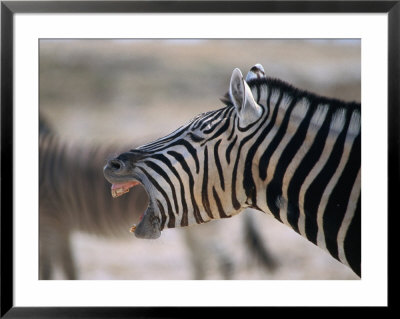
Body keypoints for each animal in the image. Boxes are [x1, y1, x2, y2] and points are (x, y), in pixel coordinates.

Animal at [39, 114, 276, 278]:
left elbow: (48, 272)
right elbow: (68, 269)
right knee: (201, 262)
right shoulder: (61, 227)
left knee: (224, 263)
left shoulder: (50, 223)